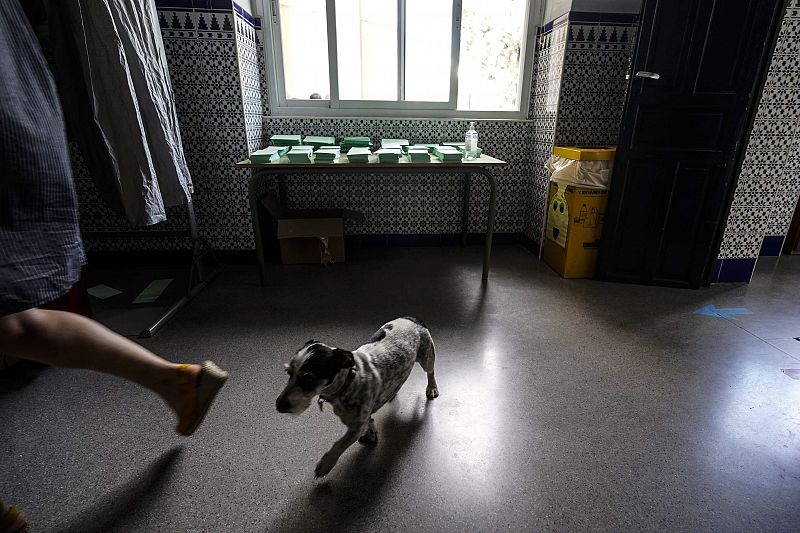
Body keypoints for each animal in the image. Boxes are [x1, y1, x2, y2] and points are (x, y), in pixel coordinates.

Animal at [276, 316, 438, 478]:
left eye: (308, 379)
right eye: (288, 372)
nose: (279, 405)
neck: (348, 382)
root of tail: (412, 318)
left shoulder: (356, 427)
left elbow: (339, 444)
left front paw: (326, 464)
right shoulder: (361, 419)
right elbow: (369, 424)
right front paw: (371, 435)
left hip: (426, 357)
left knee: (430, 372)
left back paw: (432, 388)